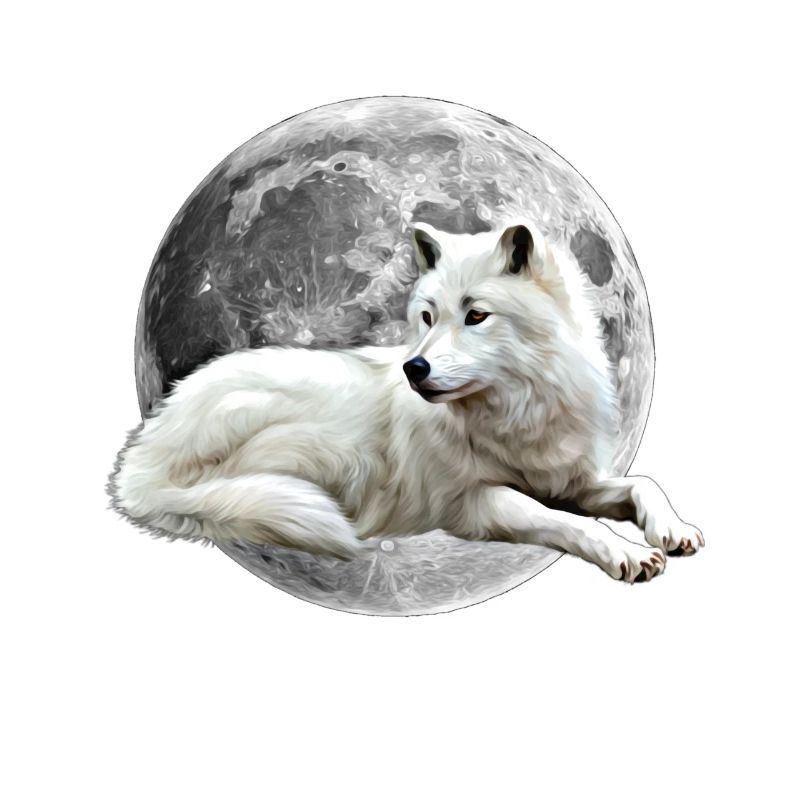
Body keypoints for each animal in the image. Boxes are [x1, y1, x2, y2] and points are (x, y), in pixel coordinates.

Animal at [110, 219, 703, 582]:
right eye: (427, 316)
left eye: (476, 315)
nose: (413, 369)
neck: (515, 409)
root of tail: (141, 457)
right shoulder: (472, 503)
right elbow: (565, 521)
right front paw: (627, 551)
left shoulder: (570, 480)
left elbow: (641, 483)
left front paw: (672, 529)